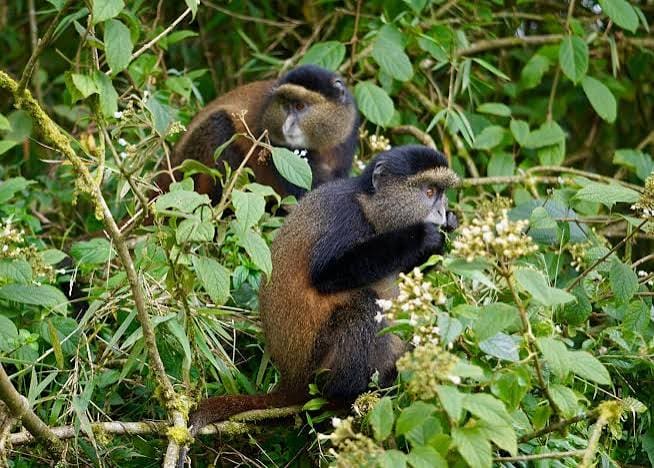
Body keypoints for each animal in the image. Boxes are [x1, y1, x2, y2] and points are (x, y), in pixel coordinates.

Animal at [178, 145, 459, 465]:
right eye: (429, 191)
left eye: (442, 193)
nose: (441, 212)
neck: (368, 206)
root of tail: (292, 380)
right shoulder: (345, 218)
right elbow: (327, 275)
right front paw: (423, 237)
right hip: (318, 364)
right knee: (364, 308)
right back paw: (349, 393)